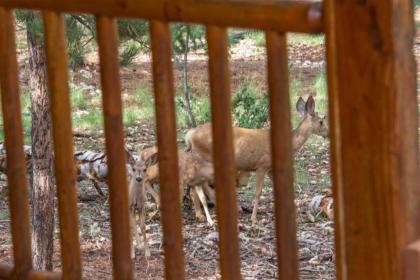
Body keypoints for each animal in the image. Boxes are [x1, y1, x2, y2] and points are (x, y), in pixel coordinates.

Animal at [186, 95, 328, 224]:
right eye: (321, 121)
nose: (327, 133)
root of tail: (190, 135)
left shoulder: (270, 169)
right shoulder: (262, 165)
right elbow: (258, 192)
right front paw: (253, 218)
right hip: (204, 158)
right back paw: (203, 215)